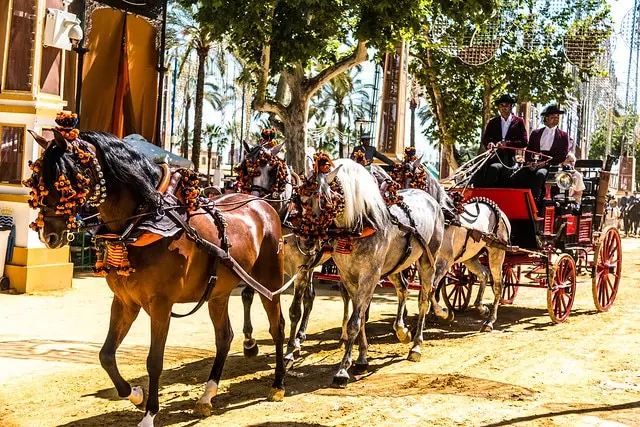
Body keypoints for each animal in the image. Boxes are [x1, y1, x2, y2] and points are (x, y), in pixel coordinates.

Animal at [25, 131, 284, 427]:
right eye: (38, 180)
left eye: (65, 178)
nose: (48, 234)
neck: (145, 222)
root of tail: (262, 204)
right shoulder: (125, 302)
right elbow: (106, 355)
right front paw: (135, 395)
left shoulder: (161, 304)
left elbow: (154, 360)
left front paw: (149, 413)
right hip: (218, 293)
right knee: (224, 337)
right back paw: (206, 396)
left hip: (270, 283)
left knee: (278, 328)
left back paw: (278, 384)